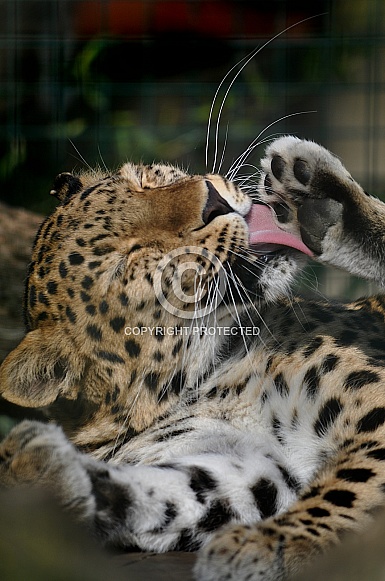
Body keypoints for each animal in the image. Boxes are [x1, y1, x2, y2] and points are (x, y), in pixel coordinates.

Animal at [0, 137, 384, 580]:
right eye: (131, 259)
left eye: (145, 180)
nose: (213, 200)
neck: (211, 374)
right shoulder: (251, 466)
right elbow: (169, 493)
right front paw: (47, 472)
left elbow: (350, 484)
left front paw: (274, 542)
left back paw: (318, 197)